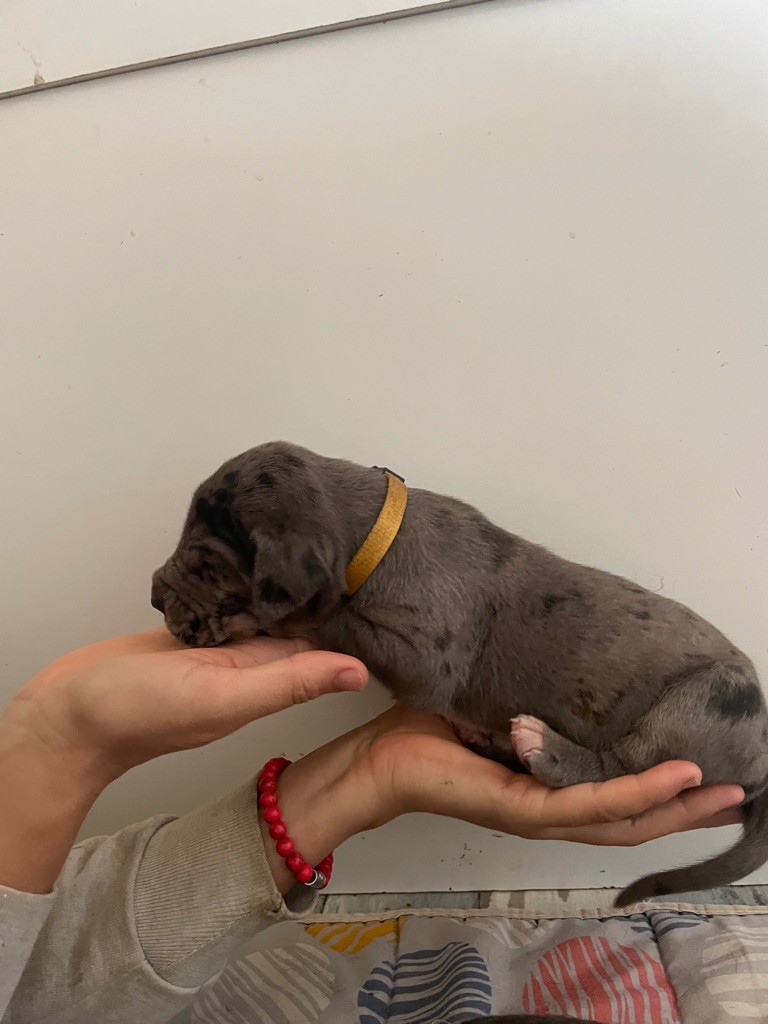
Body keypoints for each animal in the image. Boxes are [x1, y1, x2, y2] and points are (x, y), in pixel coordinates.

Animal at [152, 440, 768, 908]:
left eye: (204, 561)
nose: (154, 596)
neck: (375, 539)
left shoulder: (427, 660)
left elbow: (336, 616)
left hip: (700, 704)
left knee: (622, 765)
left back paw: (543, 747)